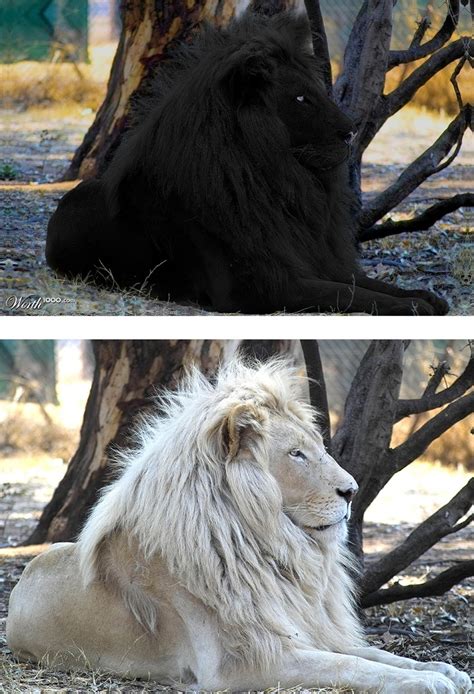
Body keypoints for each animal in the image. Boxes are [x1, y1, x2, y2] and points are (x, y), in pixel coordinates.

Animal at [7, 359, 469, 692]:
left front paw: (444, 669)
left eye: (317, 448)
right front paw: (426, 681)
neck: (271, 550)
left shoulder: (307, 631)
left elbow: (372, 656)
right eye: (296, 454)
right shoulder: (242, 662)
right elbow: (352, 667)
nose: (352, 491)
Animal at [45, 12, 448, 315]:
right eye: (301, 99)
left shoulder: (314, 258)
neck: (275, 180)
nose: (351, 131)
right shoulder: (259, 286)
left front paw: (428, 297)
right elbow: (351, 294)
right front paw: (416, 307)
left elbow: (366, 283)